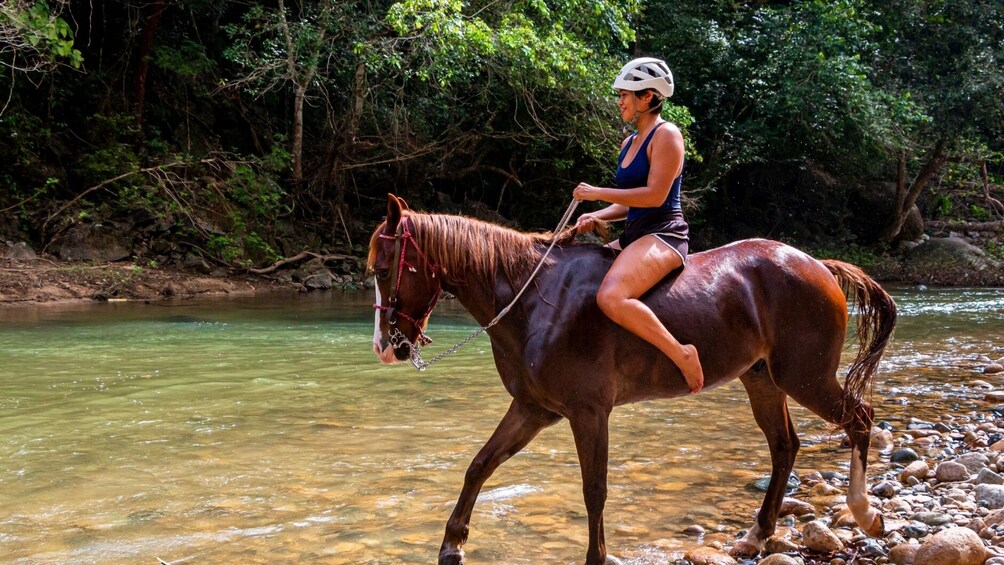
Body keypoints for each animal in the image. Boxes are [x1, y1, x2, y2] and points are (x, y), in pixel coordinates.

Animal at [367, 192, 895, 561]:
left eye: (385, 267)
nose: (385, 348)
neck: (534, 299)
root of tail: (817, 265)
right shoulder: (533, 409)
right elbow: (480, 465)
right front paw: (451, 544)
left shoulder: (588, 412)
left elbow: (594, 490)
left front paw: (595, 558)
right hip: (763, 380)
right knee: (785, 446)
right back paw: (756, 534)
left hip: (806, 378)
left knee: (860, 419)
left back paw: (866, 513)